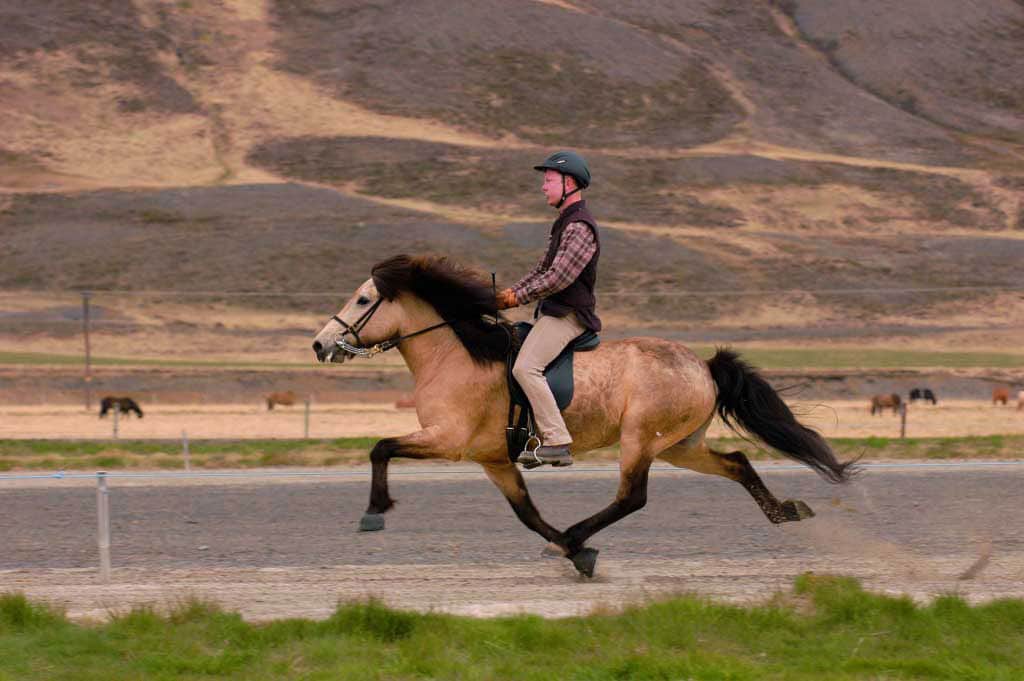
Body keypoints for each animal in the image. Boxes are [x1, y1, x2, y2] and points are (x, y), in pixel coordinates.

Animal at [309, 251, 856, 577]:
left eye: (362, 299)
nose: (319, 345)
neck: (456, 353)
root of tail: (702, 365)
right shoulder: (493, 459)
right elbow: (527, 514)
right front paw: (575, 553)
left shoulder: (449, 439)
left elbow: (381, 447)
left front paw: (374, 511)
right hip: (680, 445)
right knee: (737, 463)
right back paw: (785, 511)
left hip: (641, 439)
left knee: (632, 497)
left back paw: (577, 535)